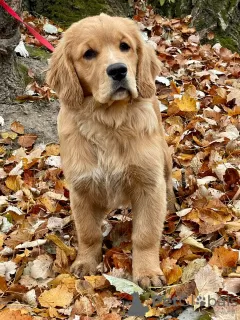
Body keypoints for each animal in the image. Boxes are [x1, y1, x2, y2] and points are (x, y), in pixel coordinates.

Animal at [47, 13, 175, 288]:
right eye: (88, 54)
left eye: (124, 46)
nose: (118, 70)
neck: (108, 121)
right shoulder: (81, 189)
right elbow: (88, 232)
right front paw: (85, 262)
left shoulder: (149, 185)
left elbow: (146, 234)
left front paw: (147, 272)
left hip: (164, 155)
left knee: (168, 180)